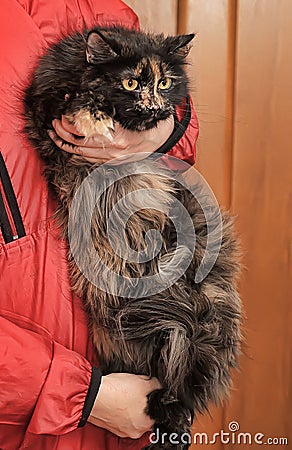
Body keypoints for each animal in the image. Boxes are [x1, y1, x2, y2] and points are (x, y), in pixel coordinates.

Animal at [23, 26, 242, 448]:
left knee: (184, 379)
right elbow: (71, 102)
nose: (155, 106)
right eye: (129, 83)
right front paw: (94, 115)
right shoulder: (43, 107)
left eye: (165, 83)